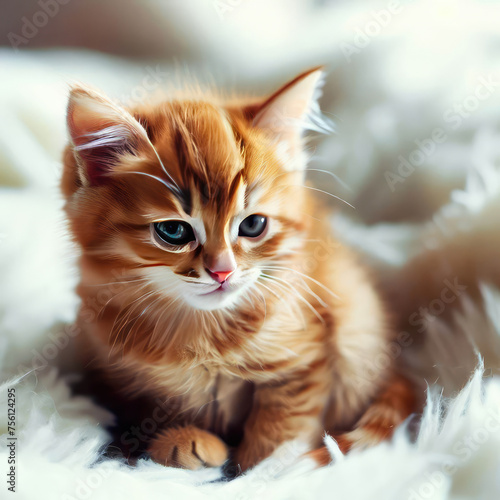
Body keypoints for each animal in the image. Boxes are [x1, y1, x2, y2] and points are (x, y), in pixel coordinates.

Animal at [60, 68, 416, 470]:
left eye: (253, 225)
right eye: (173, 231)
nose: (222, 272)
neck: (202, 333)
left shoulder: (306, 357)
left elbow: (279, 431)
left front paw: (261, 472)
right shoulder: (119, 373)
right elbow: (146, 411)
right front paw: (180, 441)